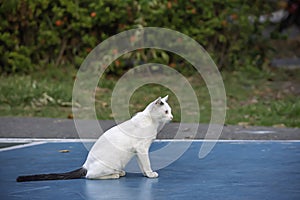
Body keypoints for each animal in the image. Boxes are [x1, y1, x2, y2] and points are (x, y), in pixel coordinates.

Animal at [17, 95, 173, 181]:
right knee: (89, 176)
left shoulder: (138, 151)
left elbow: (142, 165)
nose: (172, 117)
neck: (152, 122)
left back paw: (119, 172)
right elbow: (146, 164)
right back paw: (115, 175)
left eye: (170, 111)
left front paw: (146, 174)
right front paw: (150, 174)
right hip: (111, 163)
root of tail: (85, 164)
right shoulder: (142, 149)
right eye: (166, 112)